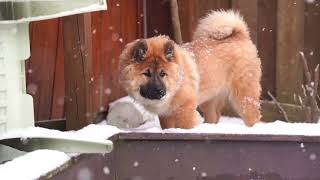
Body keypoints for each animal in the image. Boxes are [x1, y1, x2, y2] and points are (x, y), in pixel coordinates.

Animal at [119, 10, 262, 129]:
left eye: (163, 73)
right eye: (146, 73)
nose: (160, 91)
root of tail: (239, 35)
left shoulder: (185, 109)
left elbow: (185, 127)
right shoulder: (165, 114)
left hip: (243, 94)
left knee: (253, 116)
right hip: (211, 98)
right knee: (213, 117)